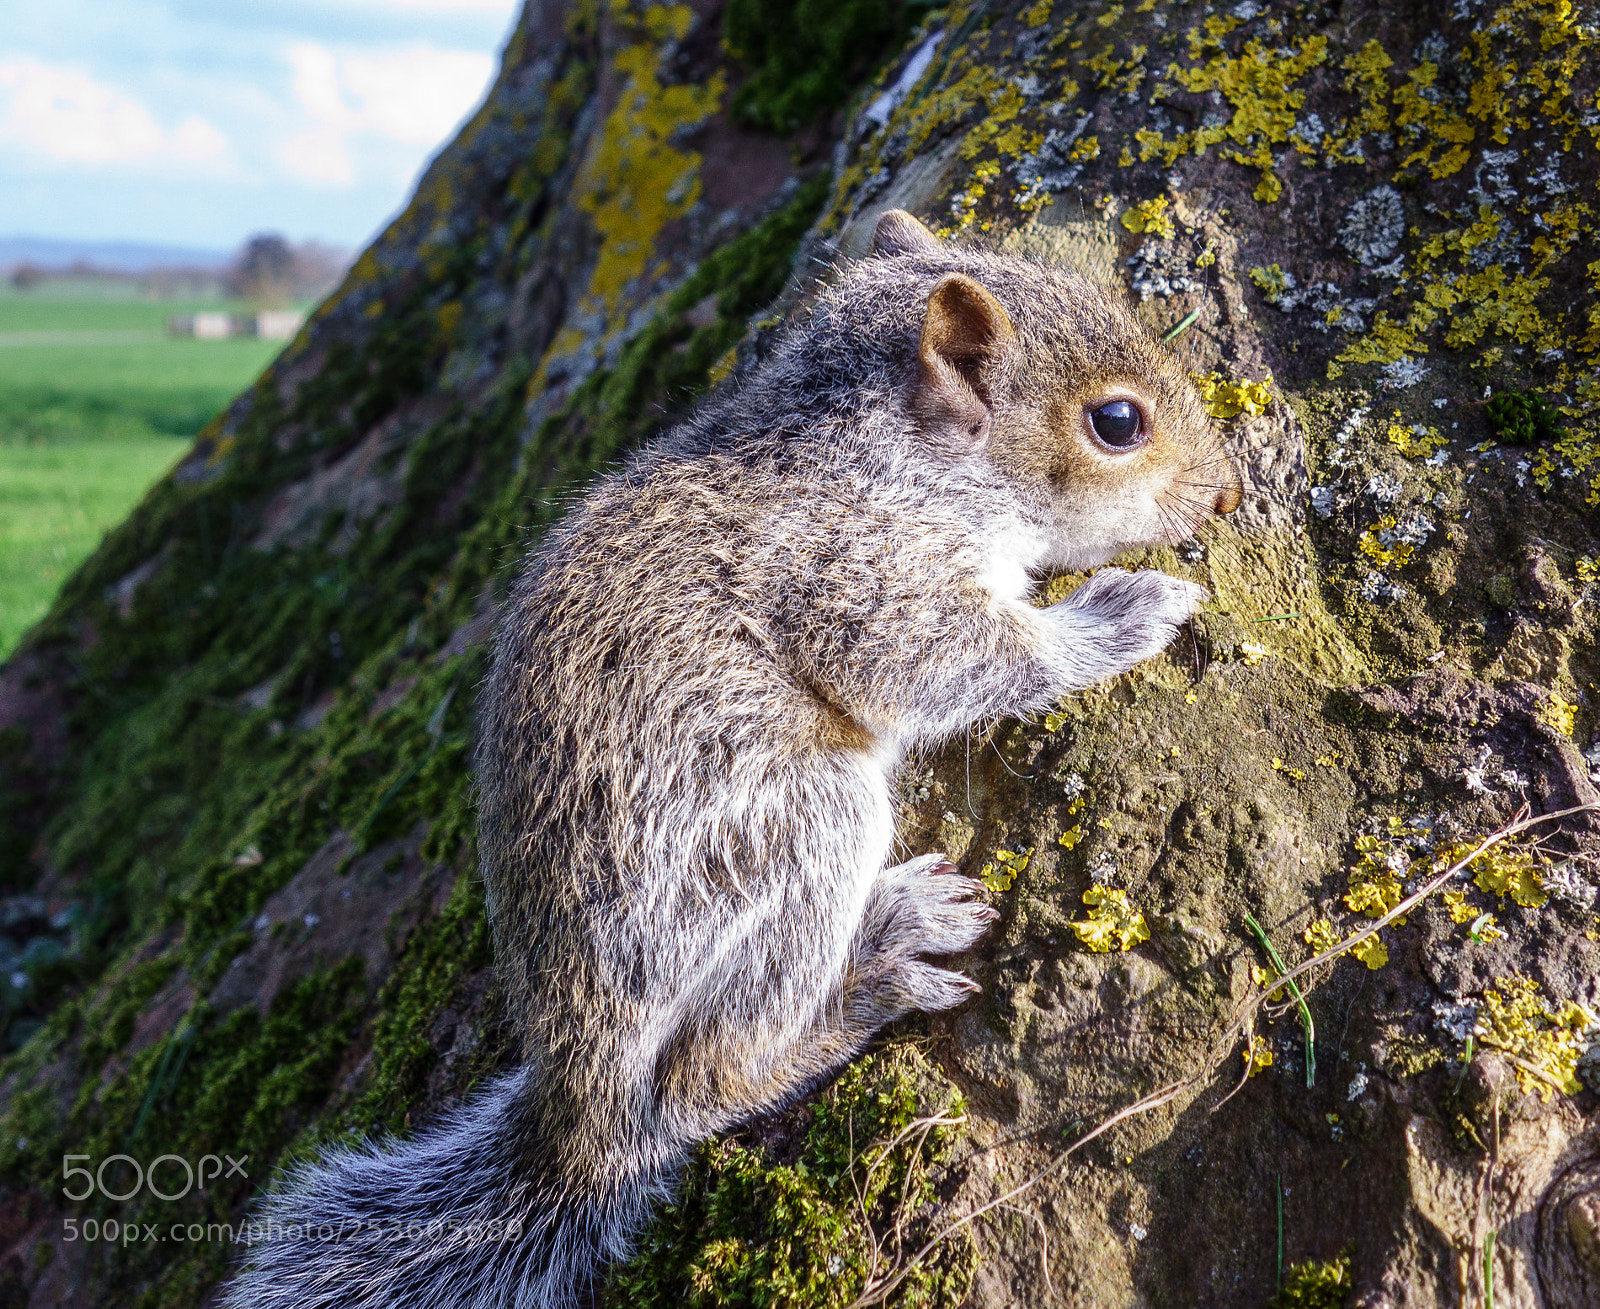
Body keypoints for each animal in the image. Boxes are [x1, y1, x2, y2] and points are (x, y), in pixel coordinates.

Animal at [224, 209, 1243, 1308]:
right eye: (1116, 422)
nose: (1229, 494)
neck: (886, 457)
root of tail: (583, 1112)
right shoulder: (859, 577)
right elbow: (956, 661)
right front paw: (1118, 612)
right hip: (785, 834)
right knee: (707, 1080)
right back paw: (876, 963)